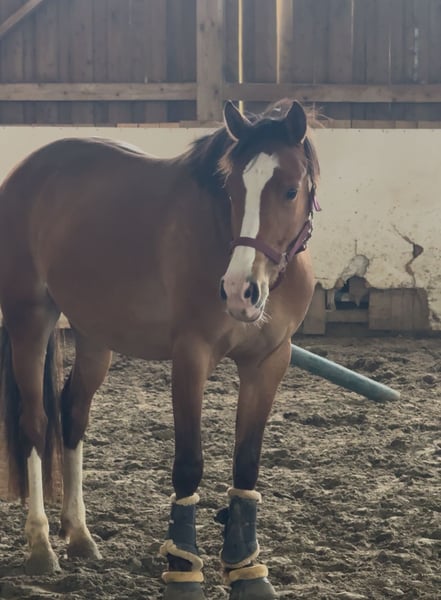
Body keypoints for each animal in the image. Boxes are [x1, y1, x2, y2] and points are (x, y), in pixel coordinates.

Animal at [0, 99, 320, 600]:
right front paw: (184, 570)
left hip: (95, 337)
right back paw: (40, 544)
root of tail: (24, 172)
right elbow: (188, 464)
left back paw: (79, 535)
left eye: (290, 190)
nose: (238, 291)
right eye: (230, 189)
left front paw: (247, 570)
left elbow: (246, 464)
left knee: (72, 414)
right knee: (35, 423)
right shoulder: (191, 356)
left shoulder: (269, 362)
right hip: (29, 319)